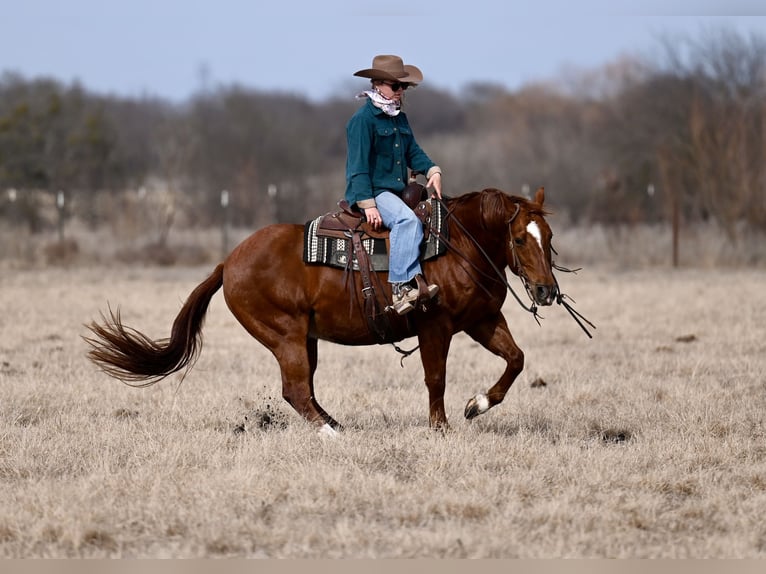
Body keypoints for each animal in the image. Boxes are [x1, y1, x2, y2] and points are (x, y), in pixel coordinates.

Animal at [85, 186, 586, 433]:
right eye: (519, 238)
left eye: (549, 237)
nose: (546, 291)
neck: (456, 245)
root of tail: (228, 262)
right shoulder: (435, 327)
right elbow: (436, 378)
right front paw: (440, 427)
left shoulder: (481, 321)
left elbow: (516, 360)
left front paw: (476, 406)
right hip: (286, 336)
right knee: (295, 390)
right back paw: (332, 434)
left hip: (305, 339)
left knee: (304, 390)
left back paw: (336, 425)